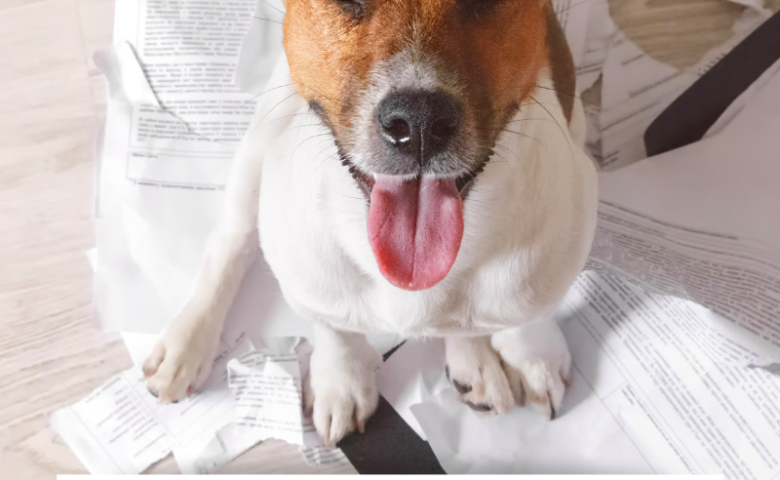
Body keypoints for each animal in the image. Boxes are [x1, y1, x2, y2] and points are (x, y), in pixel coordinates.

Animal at [142, 0, 596, 448]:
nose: (419, 122)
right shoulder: (310, 285)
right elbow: (333, 330)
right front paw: (341, 383)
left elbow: (531, 316)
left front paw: (535, 359)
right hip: (261, 141)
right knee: (230, 241)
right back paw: (185, 344)